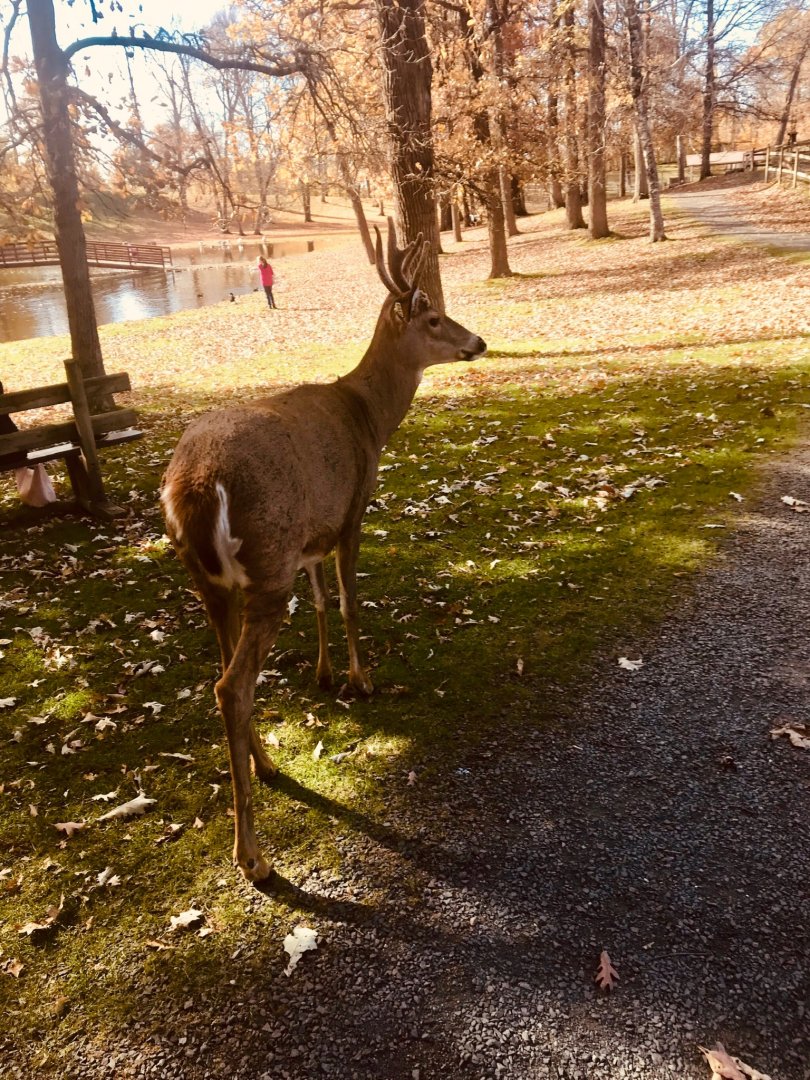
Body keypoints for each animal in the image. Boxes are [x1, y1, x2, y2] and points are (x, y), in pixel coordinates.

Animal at [160, 219, 486, 883]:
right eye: (434, 317)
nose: (479, 341)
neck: (369, 419)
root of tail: (193, 488)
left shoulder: (312, 538)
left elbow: (319, 602)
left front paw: (325, 673)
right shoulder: (355, 508)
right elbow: (349, 600)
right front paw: (363, 680)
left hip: (212, 580)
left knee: (223, 672)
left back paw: (266, 765)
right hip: (266, 562)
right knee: (232, 687)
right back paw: (252, 856)